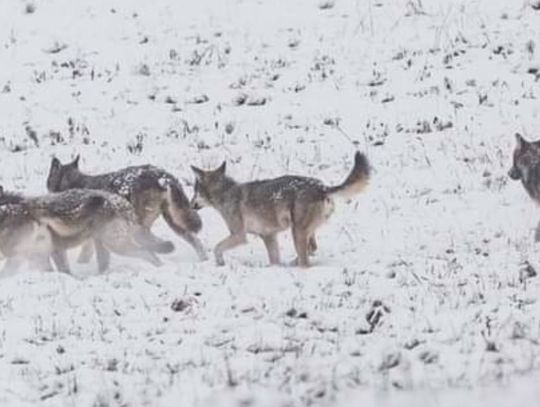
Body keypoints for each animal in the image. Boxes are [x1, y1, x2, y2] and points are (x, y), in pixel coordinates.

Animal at [0, 187, 172, 276]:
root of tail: (125, 204)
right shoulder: (43, 255)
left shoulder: (26, 255)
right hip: (103, 244)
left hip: (117, 245)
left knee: (149, 253)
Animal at [46, 155, 208, 262]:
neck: (74, 183)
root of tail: (163, 177)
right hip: (175, 222)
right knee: (196, 242)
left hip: (140, 228)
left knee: (151, 245)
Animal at [188, 151, 370, 270]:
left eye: (194, 191)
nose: (190, 205)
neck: (226, 193)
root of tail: (322, 187)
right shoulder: (269, 236)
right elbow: (274, 260)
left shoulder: (239, 236)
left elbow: (217, 248)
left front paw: (219, 263)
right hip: (304, 232)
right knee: (312, 249)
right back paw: (291, 264)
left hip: (297, 233)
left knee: (306, 261)